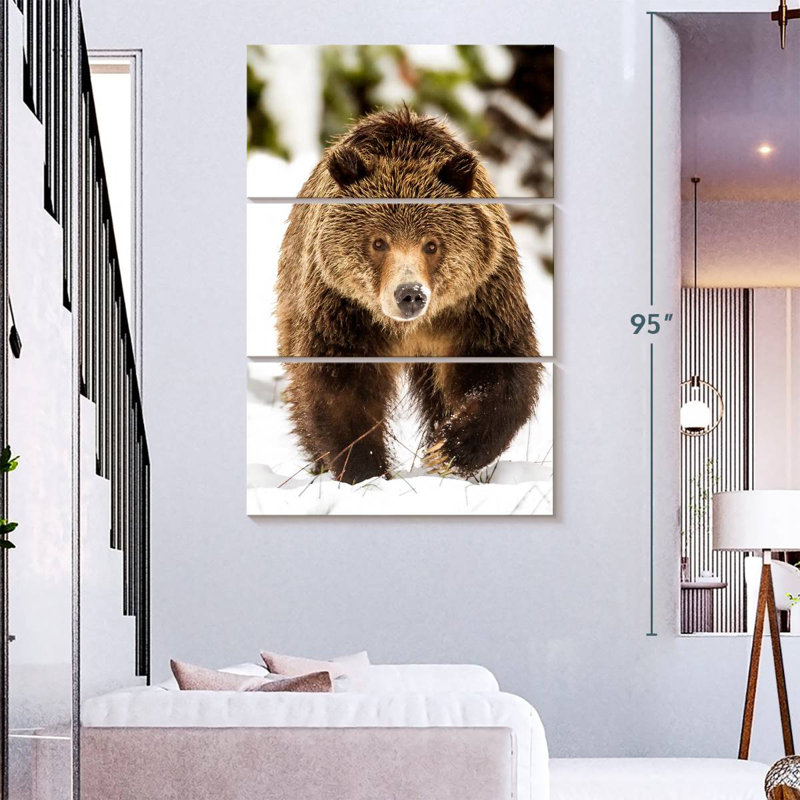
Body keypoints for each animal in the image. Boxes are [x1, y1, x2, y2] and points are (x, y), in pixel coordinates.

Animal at [274, 108, 543, 482]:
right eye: (378, 242)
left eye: (431, 244)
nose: (410, 294)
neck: (409, 328)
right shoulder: (343, 313)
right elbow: (340, 390)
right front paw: (365, 469)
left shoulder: (477, 305)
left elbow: (497, 372)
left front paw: (447, 450)